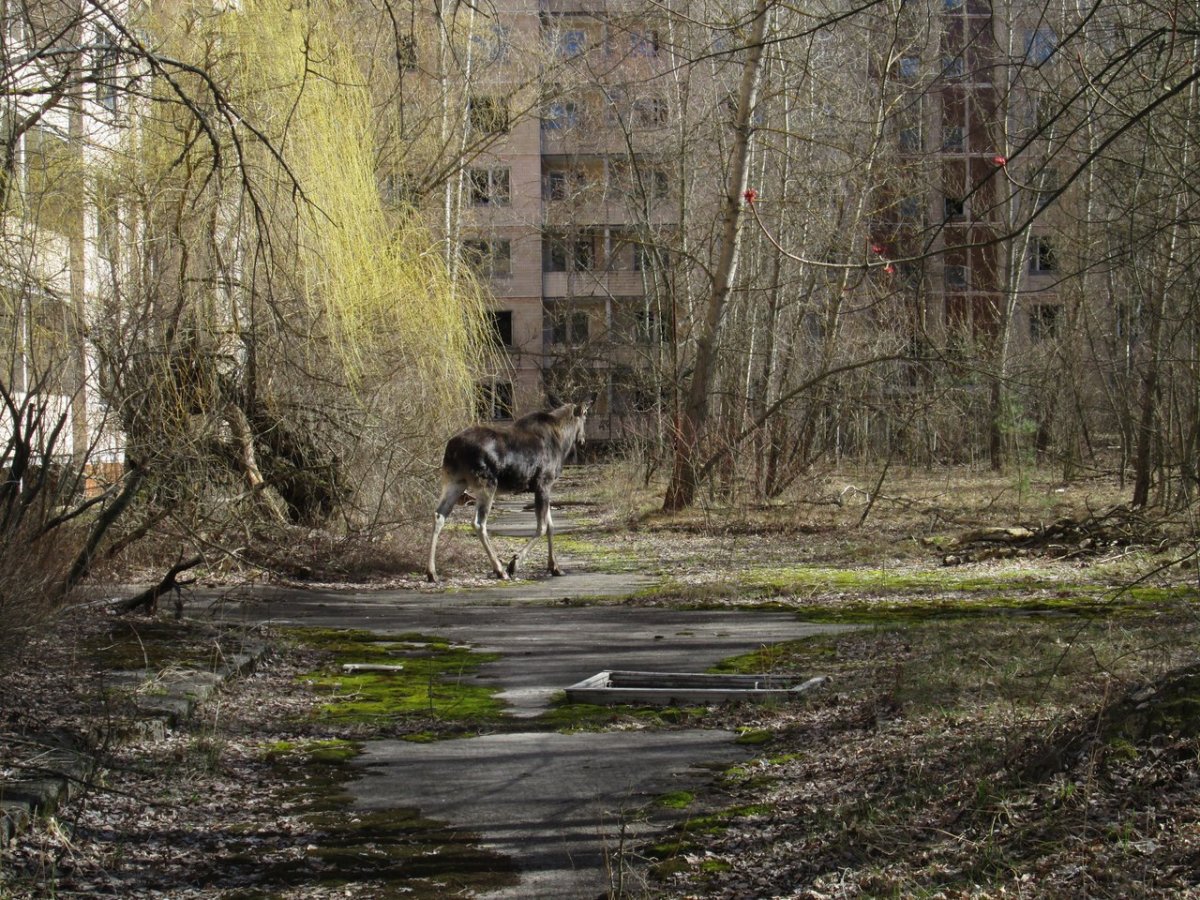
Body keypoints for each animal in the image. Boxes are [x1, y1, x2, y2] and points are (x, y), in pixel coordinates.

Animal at [427, 396, 595, 580]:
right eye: (585, 415)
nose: (583, 440)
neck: (563, 440)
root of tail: (452, 448)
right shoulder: (544, 483)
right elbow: (542, 527)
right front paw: (514, 563)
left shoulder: (544, 488)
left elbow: (551, 527)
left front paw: (555, 567)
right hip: (487, 484)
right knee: (478, 523)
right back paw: (499, 569)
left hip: (455, 481)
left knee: (439, 515)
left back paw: (431, 572)